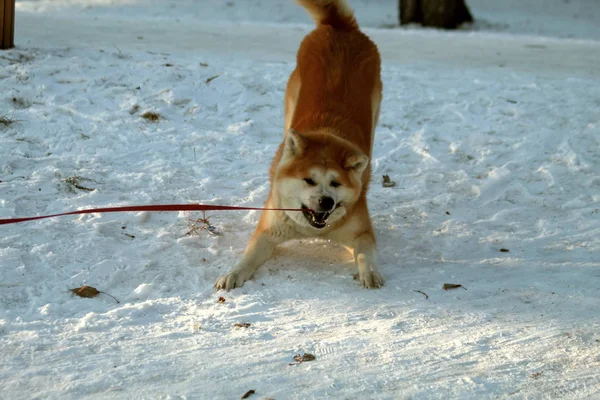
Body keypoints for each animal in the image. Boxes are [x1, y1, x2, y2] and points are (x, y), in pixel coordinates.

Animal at [216, 0, 382, 290]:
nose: (326, 201)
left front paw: (370, 272)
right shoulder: (269, 229)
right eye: (309, 180)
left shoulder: (360, 229)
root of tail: (339, 28)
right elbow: (248, 255)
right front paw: (233, 273)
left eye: (336, 183)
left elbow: (365, 252)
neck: (311, 227)